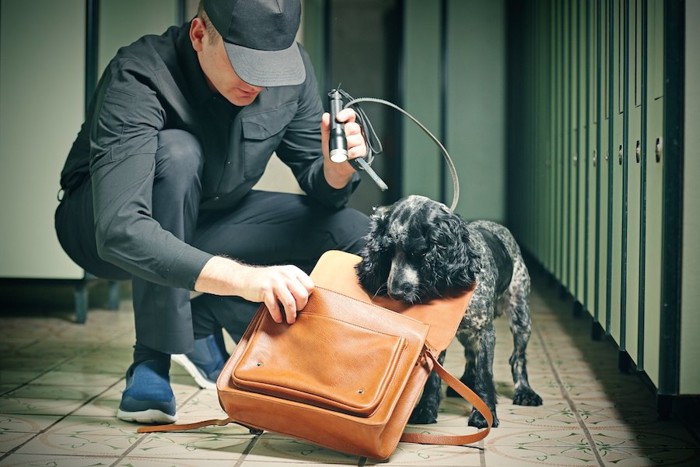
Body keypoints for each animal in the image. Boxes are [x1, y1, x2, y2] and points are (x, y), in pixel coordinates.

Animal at [356, 196, 540, 430]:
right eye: (387, 252)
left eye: (418, 252)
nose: (394, 292)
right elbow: (433, 378)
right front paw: (425, 410)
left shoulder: (484, 330)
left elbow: (485, 374)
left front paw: (484, 415)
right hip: (464, 333)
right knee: (470, 353)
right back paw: (466, 382)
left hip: (521, 316)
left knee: (518, 357)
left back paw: (525, 392)